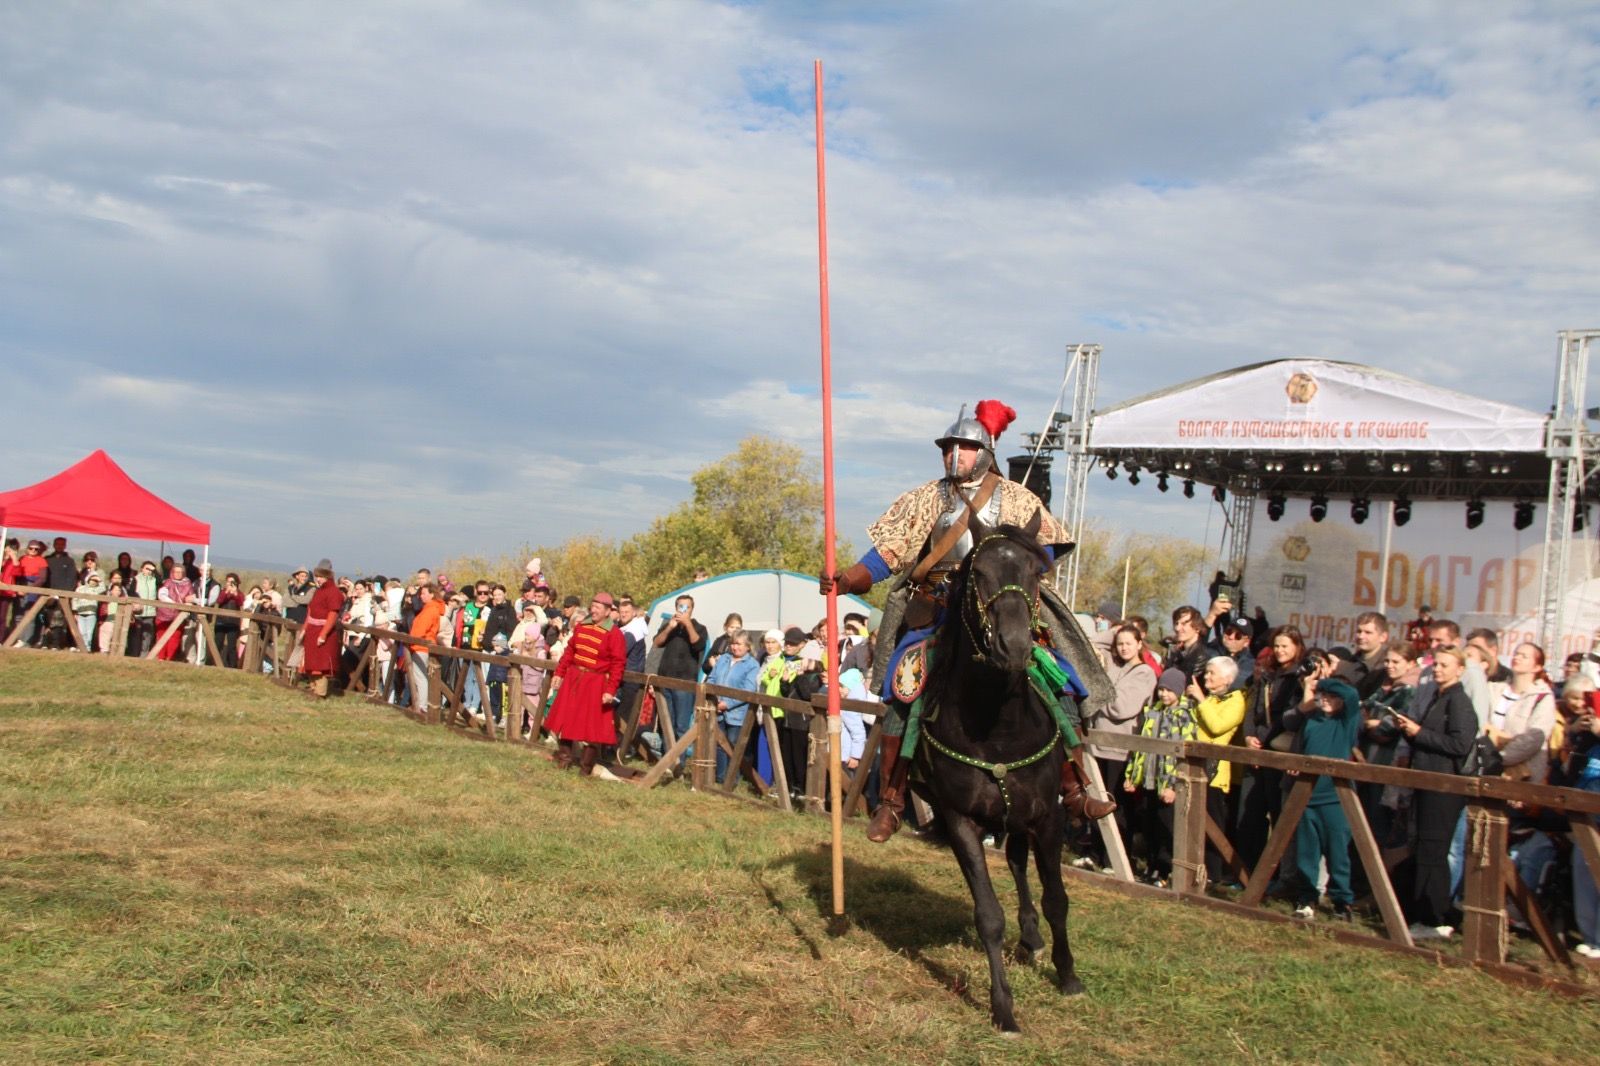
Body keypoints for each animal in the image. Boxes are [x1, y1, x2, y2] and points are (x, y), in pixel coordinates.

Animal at [908, 512, 1081, 1024]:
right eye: (979, 573)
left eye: (1037, 572)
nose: (1015, 646)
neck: (998, 727)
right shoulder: (960, 819)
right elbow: (988, 915)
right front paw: (1003, 1006)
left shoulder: (1050, 815)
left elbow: (1057, 899)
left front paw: (1068, 975)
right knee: (1016, 863)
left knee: (1022, 866)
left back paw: (1035, 939)